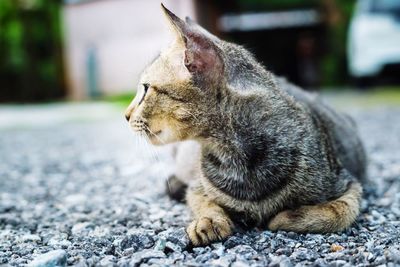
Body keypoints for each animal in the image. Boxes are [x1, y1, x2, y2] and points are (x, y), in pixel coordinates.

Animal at [124, 4, 366, 247]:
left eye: (145, 89)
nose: (125, 115)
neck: (236, 156)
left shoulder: (349, 184)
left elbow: (339, 212)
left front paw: (284, 217)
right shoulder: (196, 188)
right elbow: (205, 202)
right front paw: (209, 220)